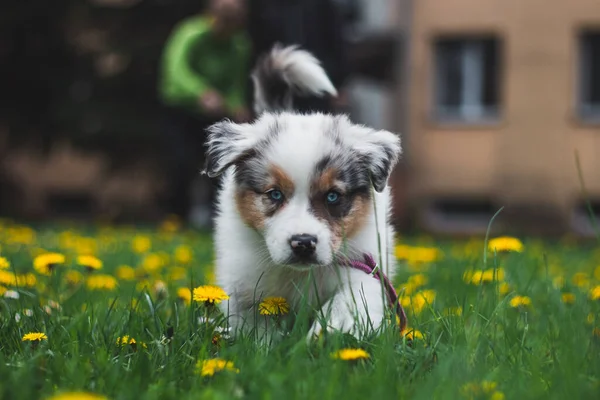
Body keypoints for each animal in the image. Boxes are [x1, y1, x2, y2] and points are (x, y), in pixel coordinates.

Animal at [202, 44, 404, 340]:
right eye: (274, 194)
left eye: (333, 196)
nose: (303, 243)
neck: (300, 274)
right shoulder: (244, 280)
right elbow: (256, 328)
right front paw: (265, 344)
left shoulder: (365, 265)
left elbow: (348, 302)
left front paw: (331, 333)